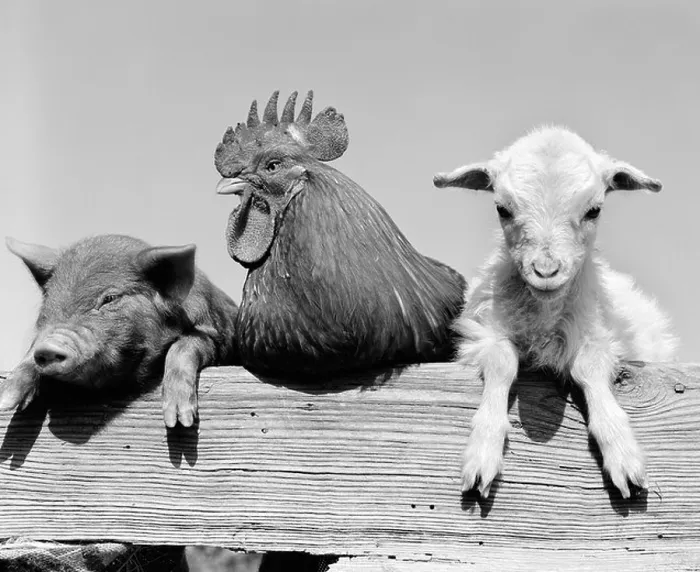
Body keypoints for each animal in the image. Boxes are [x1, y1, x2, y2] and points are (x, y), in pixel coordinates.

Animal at [1, 234, 238, 427]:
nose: (49, 346)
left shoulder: (215, 334)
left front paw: (179, 420)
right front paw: (6, 399)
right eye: (48, 301)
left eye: (110, 298)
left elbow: (185, 345)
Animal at [433, 126, 678, 499]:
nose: (546, 271)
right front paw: (483, 451)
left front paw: (622, 451)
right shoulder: (482, 333)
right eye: (502, 209)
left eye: (594, 210)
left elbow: (588, 366)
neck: (544, 317)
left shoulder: (598, 335)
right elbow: (502, 362)